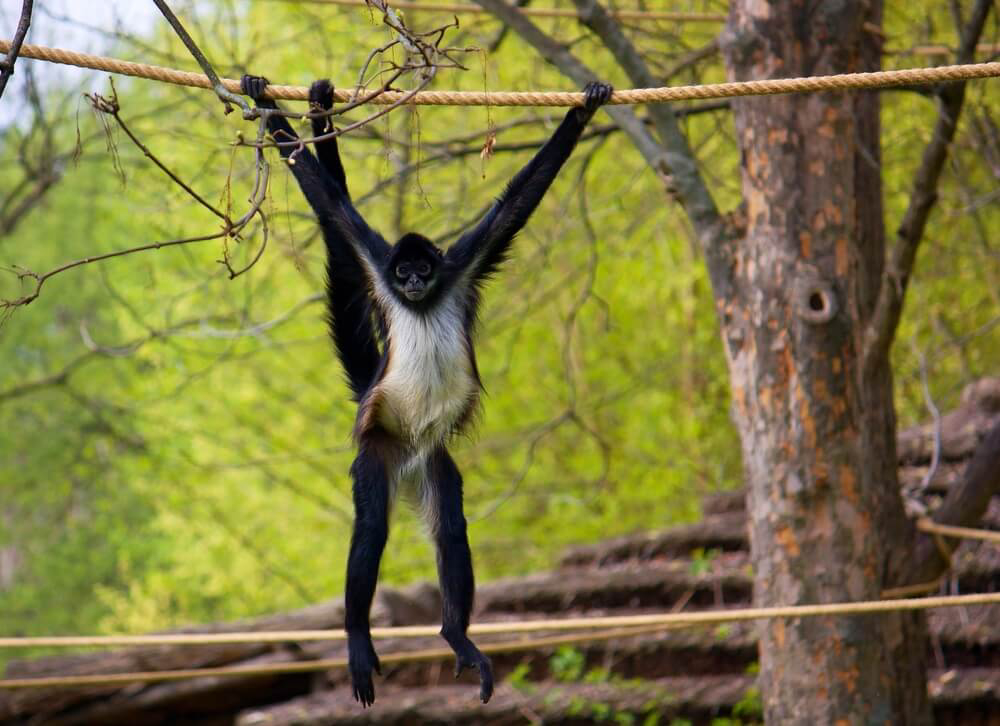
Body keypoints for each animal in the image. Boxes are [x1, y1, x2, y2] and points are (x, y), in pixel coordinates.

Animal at [244, 74, 616, 704]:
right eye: (403, 273)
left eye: (423, 270)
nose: (415, 283)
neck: (419, 300)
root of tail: (409, 453)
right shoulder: (375, 259)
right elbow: (331, 204)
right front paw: (262, 100)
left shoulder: (459, 266)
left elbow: (515, 205)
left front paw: (585, 108)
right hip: (379, 448)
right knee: (371, 530)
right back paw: (358, 641)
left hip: (433, 458)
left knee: (451, 529)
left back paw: (455, 636)